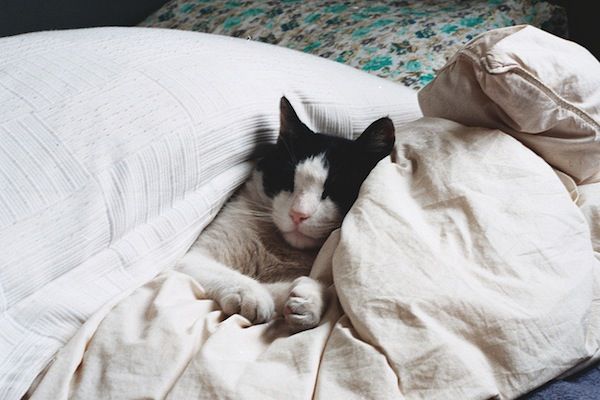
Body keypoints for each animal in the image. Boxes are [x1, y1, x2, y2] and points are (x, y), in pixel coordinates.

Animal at [176, 96, 396, 332]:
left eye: (335, 190)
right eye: (288, 180)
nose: (298, 214)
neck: (279, 252)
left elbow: (315, 290)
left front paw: (310, 300)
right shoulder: (192, 259)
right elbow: (227, 275)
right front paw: (251, 293)